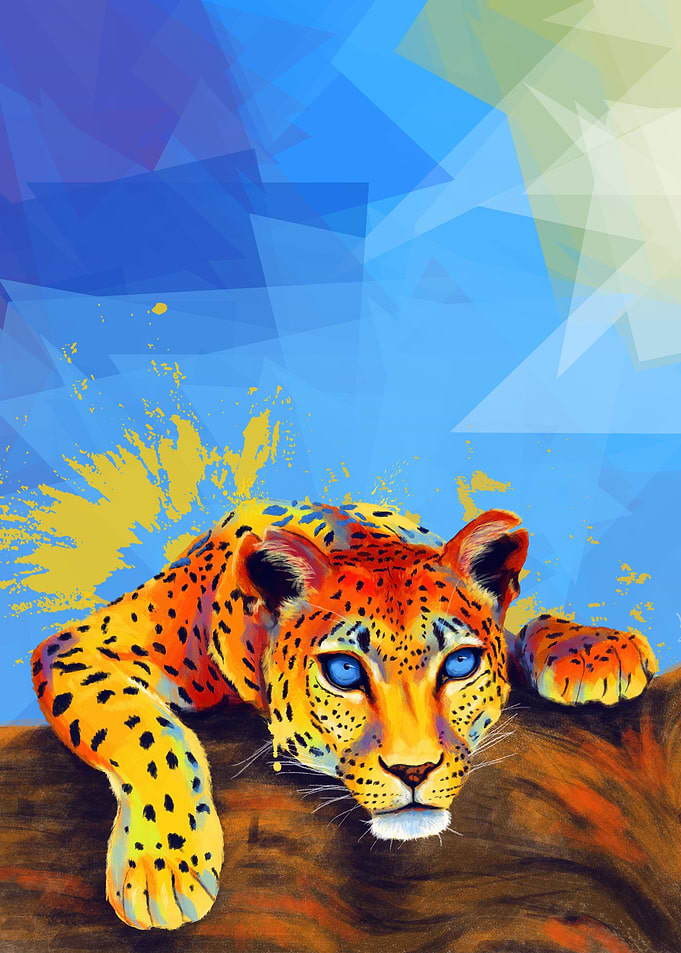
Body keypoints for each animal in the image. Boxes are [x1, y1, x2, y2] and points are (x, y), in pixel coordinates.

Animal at [31, 499, 657, 930]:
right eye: (345, 672)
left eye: (459, 663)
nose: (414, 771)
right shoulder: (76, 646)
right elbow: (142, 727)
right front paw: (165, 866)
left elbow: (522, 624)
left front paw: (595, 650)